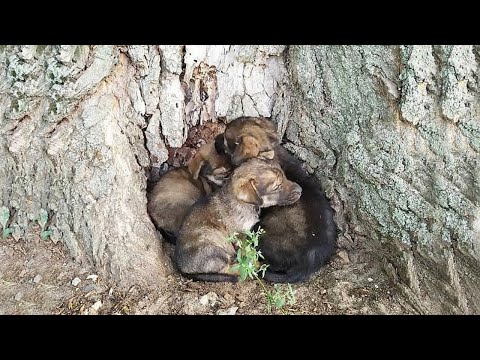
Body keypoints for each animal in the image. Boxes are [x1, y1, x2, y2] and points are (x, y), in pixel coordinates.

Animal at [174, 159, 302, 282]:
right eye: (277, 186)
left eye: (285, 176)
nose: (300, 190)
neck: (242, 202)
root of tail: (182, 269)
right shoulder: (240, 235)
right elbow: (248, 252)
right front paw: (254, 263)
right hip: (215, 247)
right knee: (225, 268)